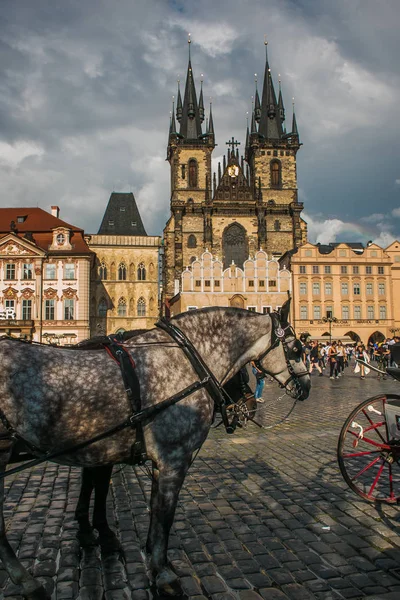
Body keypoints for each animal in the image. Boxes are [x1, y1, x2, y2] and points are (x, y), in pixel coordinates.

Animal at [0, 302, 310, 596]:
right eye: (297, 349)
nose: (306, 387)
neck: (186, 361)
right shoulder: (173, 459)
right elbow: (163, 516)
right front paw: (162, 573)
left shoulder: (129, 456)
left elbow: (150, 511)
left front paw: (151, 557)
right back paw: (26, 581)